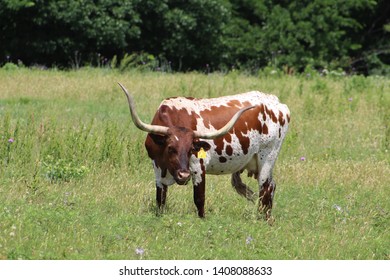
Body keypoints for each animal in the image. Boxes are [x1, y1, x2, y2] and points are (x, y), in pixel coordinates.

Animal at [119, 83, 290, 219]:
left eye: (191, 150)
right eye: (170, 148)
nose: (184, 175)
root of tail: (276, 102)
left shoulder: (197, 166)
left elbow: (199, 198)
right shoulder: (157, 168)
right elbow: (160, 199)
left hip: (268, 156)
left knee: (265, 188)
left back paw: (262, 219)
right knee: (271, 187)